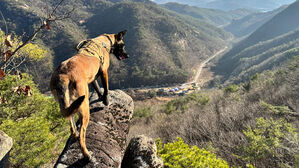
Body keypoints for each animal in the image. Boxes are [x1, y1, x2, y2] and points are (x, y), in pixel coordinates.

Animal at [49, 29, 129, 159]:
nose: (128, 55)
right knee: (82, 133)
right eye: (122, 45)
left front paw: (101, 97)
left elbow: (97, 88)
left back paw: (75, 134)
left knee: (71, 124)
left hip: (68, 103)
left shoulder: (93, 78)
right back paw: (86, 154)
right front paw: (106, 100)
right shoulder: (104, 72)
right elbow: (106, 89)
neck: (104, 42)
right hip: (84, 107)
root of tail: (63, 75)